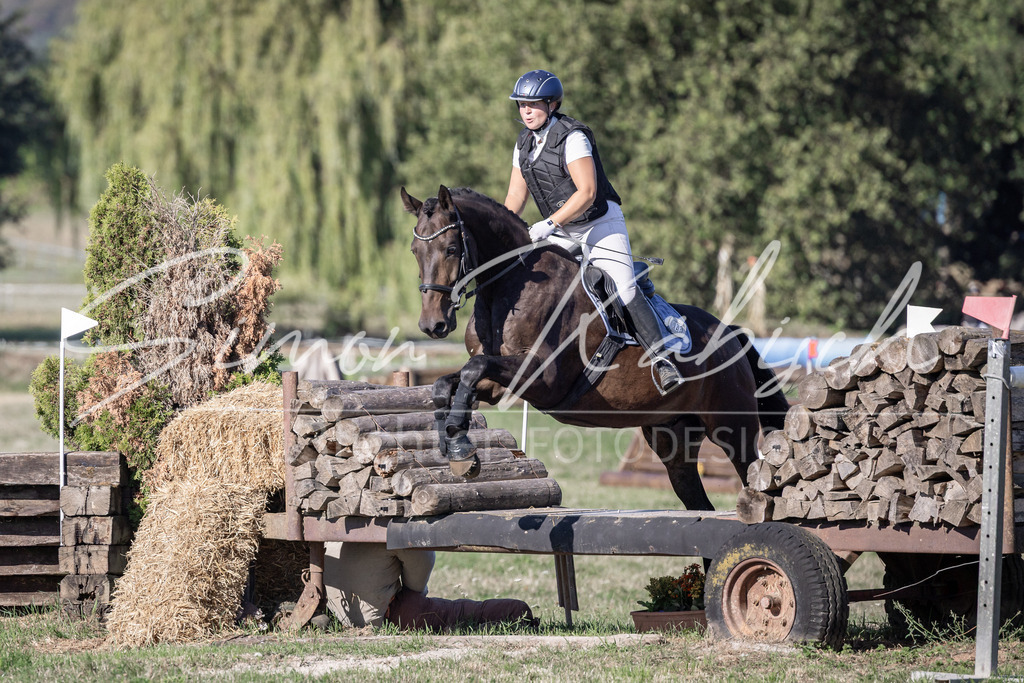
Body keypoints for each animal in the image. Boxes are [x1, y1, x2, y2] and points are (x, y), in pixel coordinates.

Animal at [402, 184, 789, 511]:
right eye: (415, 252)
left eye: (452, 249)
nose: (432, 325)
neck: (510, 285)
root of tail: (731, 335)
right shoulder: (499, 384)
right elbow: (448, 382)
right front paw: (452, 444)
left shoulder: (544, 378)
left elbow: (473, 367)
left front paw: (460, 448)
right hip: (673, 437)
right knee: (698, 503)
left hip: (732, 427)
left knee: (751, 472)